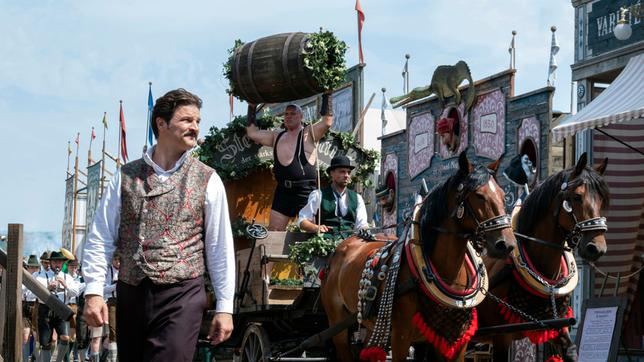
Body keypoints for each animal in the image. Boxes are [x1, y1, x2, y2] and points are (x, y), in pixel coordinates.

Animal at [322, 151, 520, 360]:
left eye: (502, 196)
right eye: (479, 196)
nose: (507, 244)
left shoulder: (454, 340)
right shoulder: (400, 337)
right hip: (337, 323)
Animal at [478, 153, 608, 362]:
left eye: (602, 199)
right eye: (577, 197)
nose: (597, 248)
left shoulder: (556, 325)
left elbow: (571, 351)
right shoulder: (501, 336)